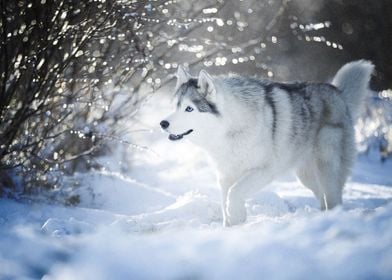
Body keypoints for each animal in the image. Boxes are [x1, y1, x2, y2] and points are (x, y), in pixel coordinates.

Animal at [160, 60, 374, 225]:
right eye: (175, 107)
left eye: (189, 109)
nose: (163, 123)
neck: (230, 127)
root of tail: (338, 92)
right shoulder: (226, 175)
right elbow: (225, 202)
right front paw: (232, 226)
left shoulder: (264, 170)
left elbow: (234, 194)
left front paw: (237, 216)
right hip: (306, 177)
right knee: (323, 198)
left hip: (326, 168)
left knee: (334, 199)